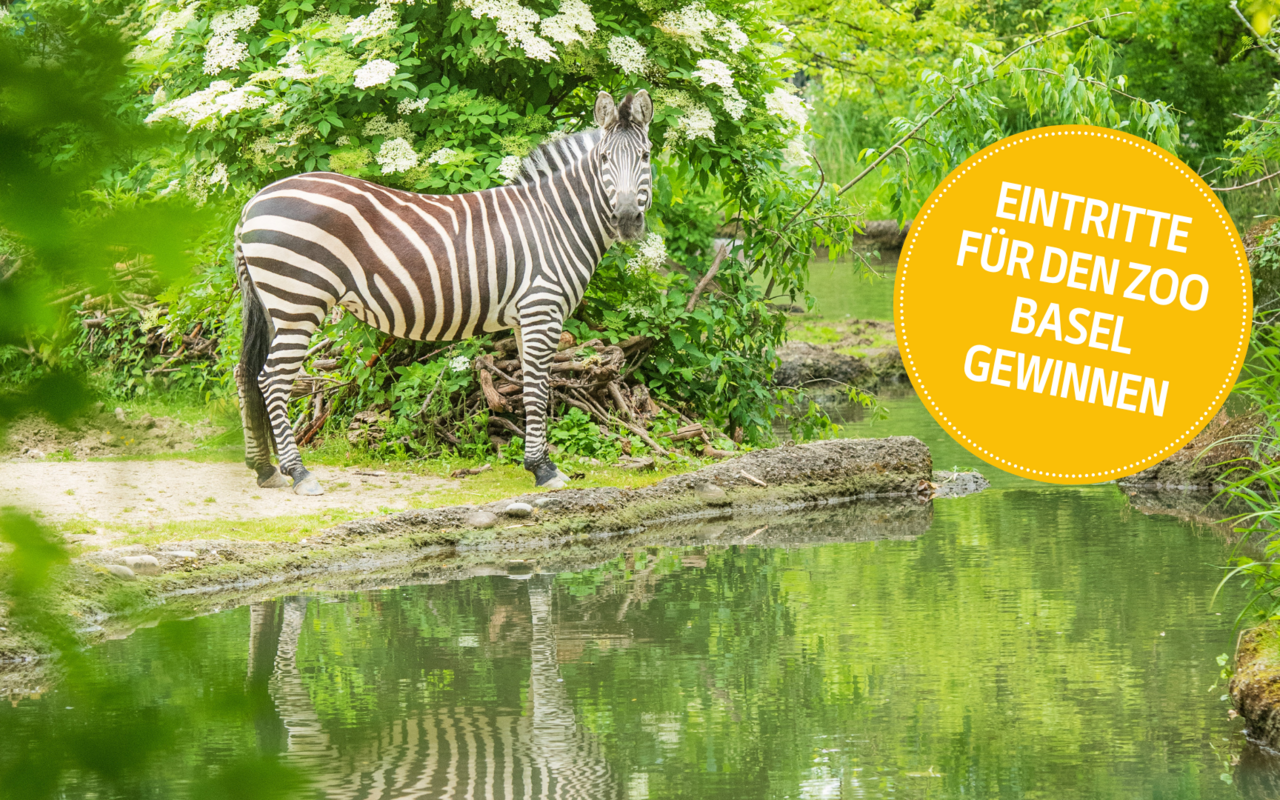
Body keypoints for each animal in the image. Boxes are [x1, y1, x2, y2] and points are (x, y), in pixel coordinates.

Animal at [234, 91, 654, 495]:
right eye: (604, 158)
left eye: (646, 156)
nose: (627, 219)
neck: (555, 220)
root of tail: (252, 201)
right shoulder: (541, 308)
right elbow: (538, 388)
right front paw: (544, 470)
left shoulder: (526, 316)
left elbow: (532, 385)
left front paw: (537, 463)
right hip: (299, 300)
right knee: (273, 379)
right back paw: (298, 473)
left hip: (274, 304)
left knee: (246, 372)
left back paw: (264, 469)